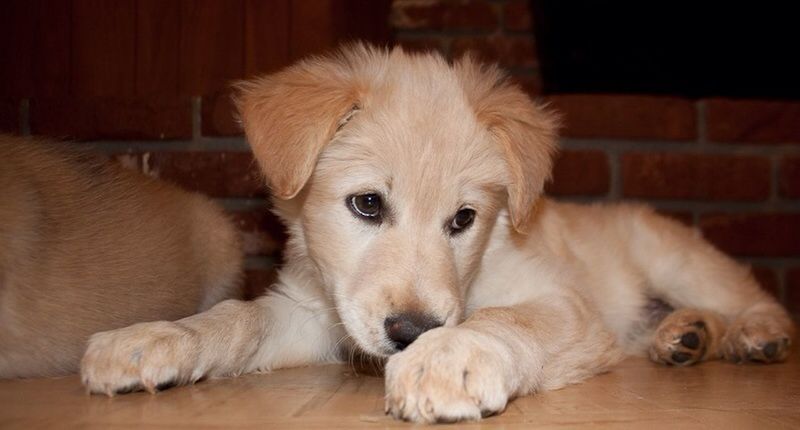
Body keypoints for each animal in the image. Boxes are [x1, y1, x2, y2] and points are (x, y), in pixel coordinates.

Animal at [78, 44, 792, 424]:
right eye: (367, 204)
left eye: (463, 219)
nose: (410, 332)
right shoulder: (314, 314)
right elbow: (236, 317)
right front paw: (154, 338)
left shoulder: (568, 304)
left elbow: (506, 318)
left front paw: (450, 355)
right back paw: (685, 337)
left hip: (673, 255)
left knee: (754, 297)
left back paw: (752, 335)